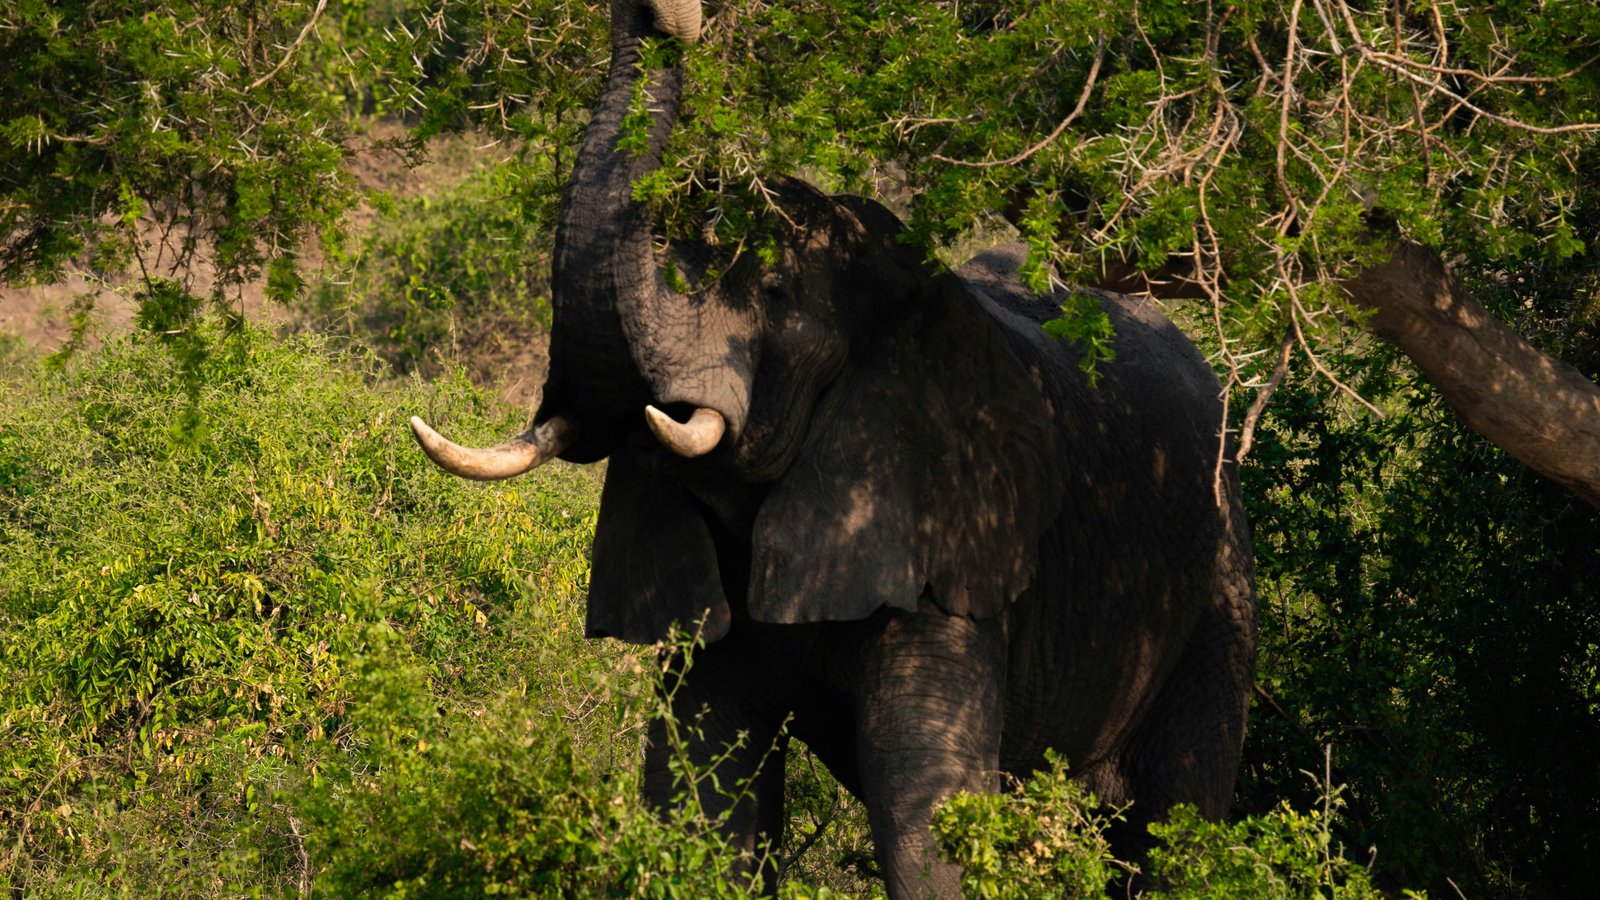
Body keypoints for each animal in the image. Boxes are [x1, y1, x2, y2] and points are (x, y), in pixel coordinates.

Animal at [410, 1, 1256, 895]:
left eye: (774, 293)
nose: (671, 17)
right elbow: (700, 788)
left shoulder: (939, 535)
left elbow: (922, 802)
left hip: (1217, 590)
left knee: (1176, 819)